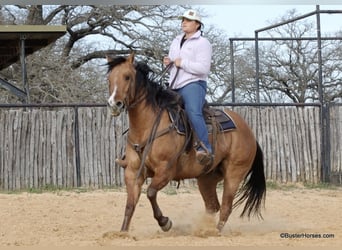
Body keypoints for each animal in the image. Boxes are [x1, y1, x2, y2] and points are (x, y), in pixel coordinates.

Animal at [105, 52, 266, 232]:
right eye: (109, 78)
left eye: (127, 76)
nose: (114, 104)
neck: (148, 125)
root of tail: (249, 132)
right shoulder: (132, 172)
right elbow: (130, 205)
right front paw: (123, 233)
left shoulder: (165, 171)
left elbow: (151, 193)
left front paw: (165, 222)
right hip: (207, 178)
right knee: (213, 206)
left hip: (234, 173)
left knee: (226, 206)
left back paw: (213, 232)